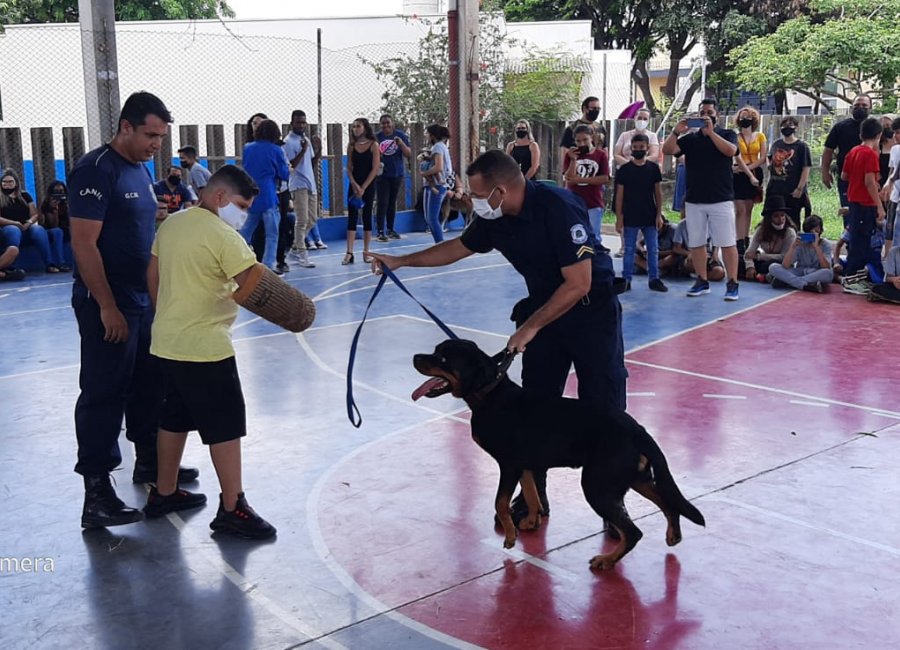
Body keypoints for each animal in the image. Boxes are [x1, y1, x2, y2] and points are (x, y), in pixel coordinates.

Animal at [412, 336, 708, 568]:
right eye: (436, 351)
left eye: (443, 358)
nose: (416, 357)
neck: (490, 394)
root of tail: (639, 430)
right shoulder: (526, 464)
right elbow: (532, 493)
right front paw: (531, 520)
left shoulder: (509, 464)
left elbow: (500, 502)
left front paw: (510, 536)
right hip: (634, 477)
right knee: (669, 503)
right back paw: (673, 534)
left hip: (598, 485)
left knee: (634, 532)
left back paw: (607, 561)